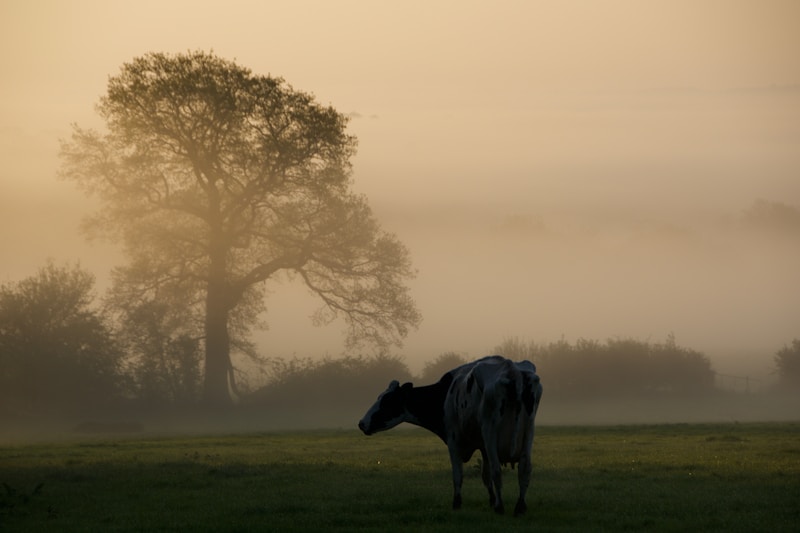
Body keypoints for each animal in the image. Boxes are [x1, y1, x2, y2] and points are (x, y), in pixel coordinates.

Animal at [358, 356, 540, 512]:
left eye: (387, 401)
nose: (361, 423)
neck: (444, 395)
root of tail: (511, 370)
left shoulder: (454, 441)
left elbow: (458, 475)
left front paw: (457, 503)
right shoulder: (482, 446)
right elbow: (485, 476)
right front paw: (491, 500)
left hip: (490, 429)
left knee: (497, 470)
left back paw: (500, 508)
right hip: (528, 431)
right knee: (524, 468)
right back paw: (519, 507)